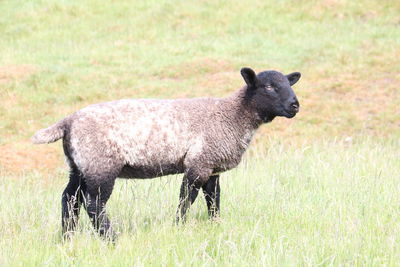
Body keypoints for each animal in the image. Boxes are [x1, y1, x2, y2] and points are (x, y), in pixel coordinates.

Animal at [32, 67, 300, 239]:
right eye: (269, 86)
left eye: (289, 84)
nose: (295, 105)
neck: (232, 115)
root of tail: (68, 122)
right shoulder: (198, 163)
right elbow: (186, 199)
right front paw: (179, 227)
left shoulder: (212, 166)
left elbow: (214, 200)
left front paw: (216, 225)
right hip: (101, 166)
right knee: (94, 205)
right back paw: (111, 239)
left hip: (79, 166)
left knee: (69, 199)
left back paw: (67, 238)